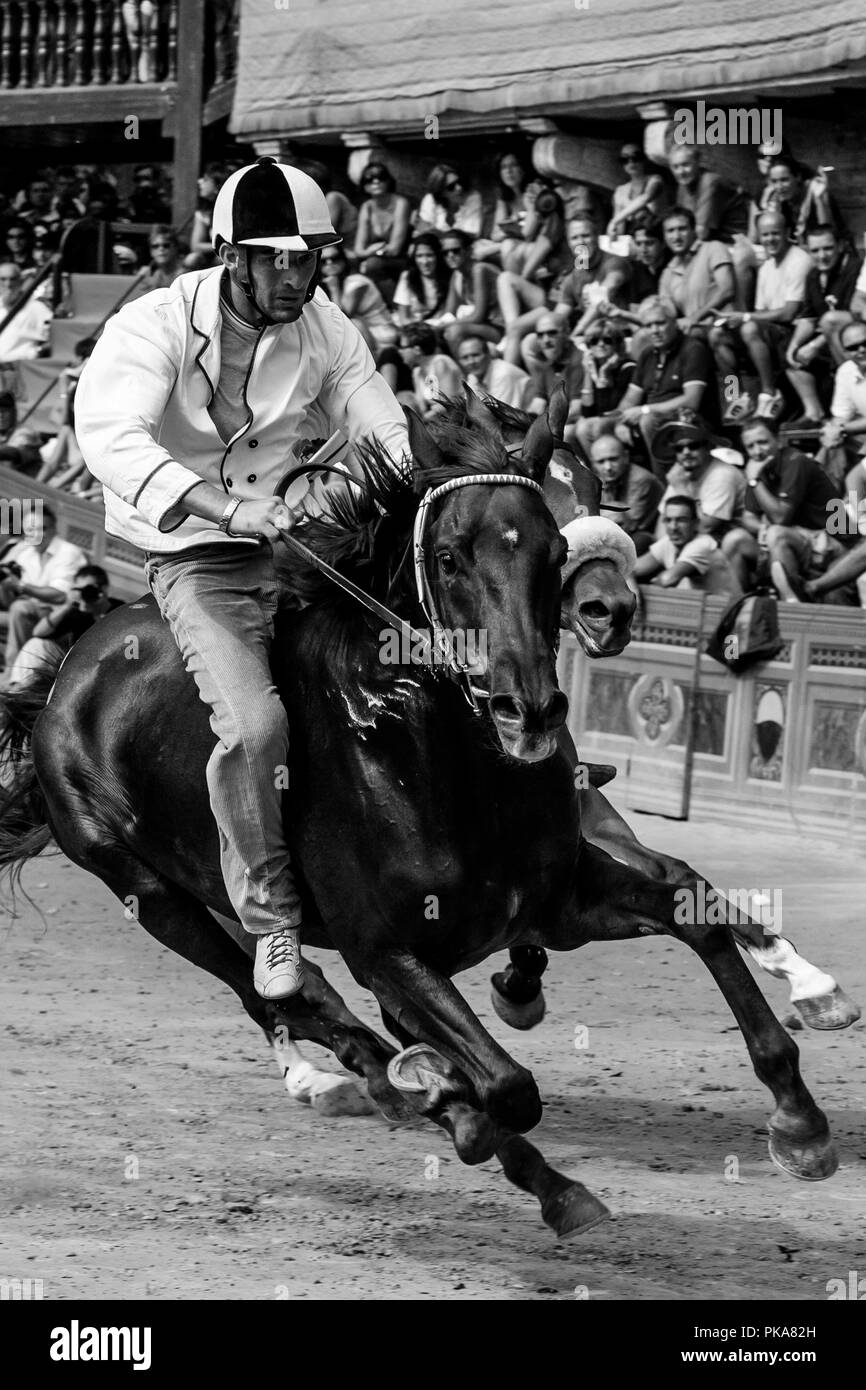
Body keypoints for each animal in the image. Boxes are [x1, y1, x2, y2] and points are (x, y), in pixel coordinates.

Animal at [0, 405, 839, 1239]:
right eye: (447, 556)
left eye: (554, 546)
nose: (529, 708)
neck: (432, 761)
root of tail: (66, 680)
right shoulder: (386, 951)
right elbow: (505, 1086)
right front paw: (448, 1094)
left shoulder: (557, 899)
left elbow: (692, 911)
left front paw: (801, 1118)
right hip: (148, 891)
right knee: (279, 996)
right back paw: (386, 1091)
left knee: (302, 995)